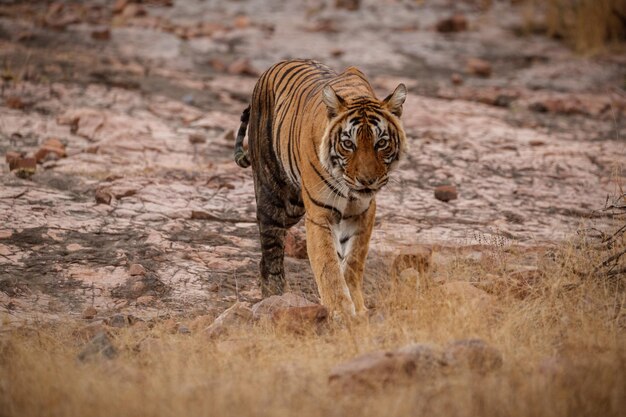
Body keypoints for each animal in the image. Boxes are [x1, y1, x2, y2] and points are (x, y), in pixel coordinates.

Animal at [233, 58, 404, 318]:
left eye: (381, 143)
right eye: (348, 144)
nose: (366, 181)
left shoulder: (363, 212)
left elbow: (353, 261)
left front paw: (357, 305)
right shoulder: (320, 213)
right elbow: (328, 264)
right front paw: (341, 309)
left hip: (294, 206)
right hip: (277, 199)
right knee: (271, 250)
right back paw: (274, 296)